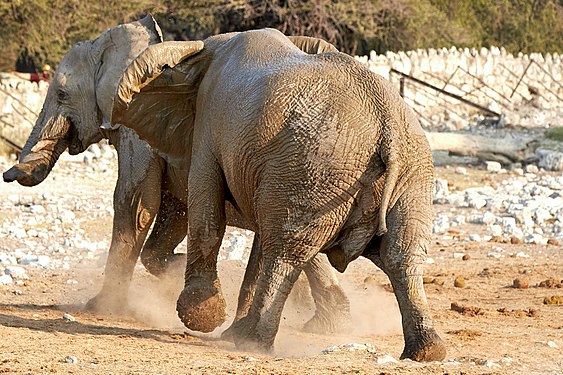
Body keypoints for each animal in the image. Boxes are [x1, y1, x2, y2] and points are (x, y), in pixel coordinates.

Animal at [1, 16, 352, 334]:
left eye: (61, 94)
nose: (7, 175)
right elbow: (172, 212)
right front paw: (177, 267)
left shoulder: (136, 130)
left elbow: (135, 202)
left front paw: (100, 307)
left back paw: (322, 324)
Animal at [112, 27, 448, 362]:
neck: (206, 51)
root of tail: (387, 126)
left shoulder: (209, 127)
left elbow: (208, 213)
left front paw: (203, 317)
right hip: (409, 176)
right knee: (402, 255)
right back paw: (427, 352)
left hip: (316, 169)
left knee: (286, 252)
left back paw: (252, 340)